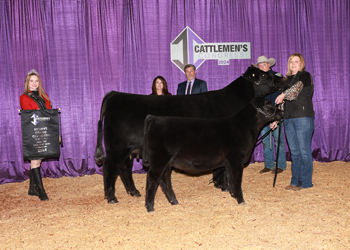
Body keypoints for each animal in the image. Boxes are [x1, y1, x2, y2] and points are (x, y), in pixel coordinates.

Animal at [144, 97, 284, 213]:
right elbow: (237, 180)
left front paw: (233, 195)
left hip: (168, 163)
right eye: (267, 104)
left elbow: (230, 180)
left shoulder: (228, 163)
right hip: (159, 159)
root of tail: (154, 118)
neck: (244, 127)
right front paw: (241, 200)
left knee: (164, 180)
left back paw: (174, 201)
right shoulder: (236, 160)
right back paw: (150, 207)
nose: (282, 113)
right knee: (152, 179)